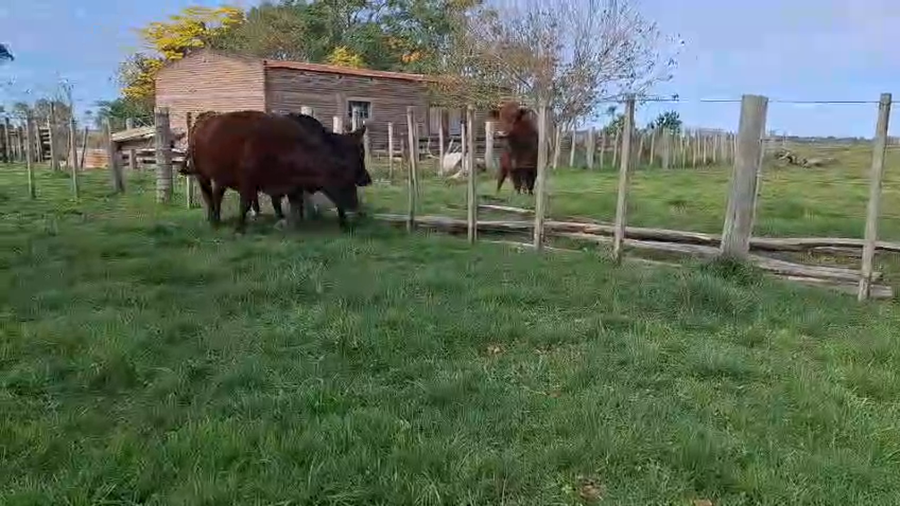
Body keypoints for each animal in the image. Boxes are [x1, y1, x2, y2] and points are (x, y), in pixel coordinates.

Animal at [185, 110, 371, 233]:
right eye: (359, 154)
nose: (367, 179)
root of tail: (204, 117)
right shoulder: (248, 181)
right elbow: (245, 204)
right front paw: (239, 228)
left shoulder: (290, 185)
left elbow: (293, 205)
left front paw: (290, 224)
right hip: (201, 174)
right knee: (208, 196)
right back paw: (213, 220)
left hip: (220, 177)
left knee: (217, 195)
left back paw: (216, 218)